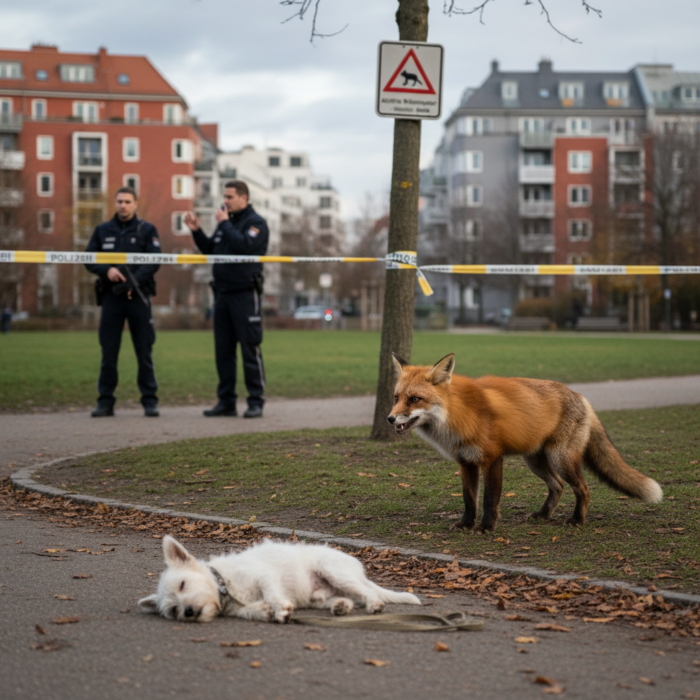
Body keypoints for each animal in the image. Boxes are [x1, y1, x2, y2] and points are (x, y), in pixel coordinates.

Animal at [387, 353, 663, 532]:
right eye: (396, 398)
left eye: (415, 399)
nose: (389, 419)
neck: (457, 414)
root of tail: (581, 396)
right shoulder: (466, 462)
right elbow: (469, 498)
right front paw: (466, 524)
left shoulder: (492, 458)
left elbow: (489, 499)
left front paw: (486, 527)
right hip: (536, 461)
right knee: (558, 486)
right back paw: (543, 515)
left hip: (560, 459)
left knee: (582, 488)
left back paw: (577, 521)